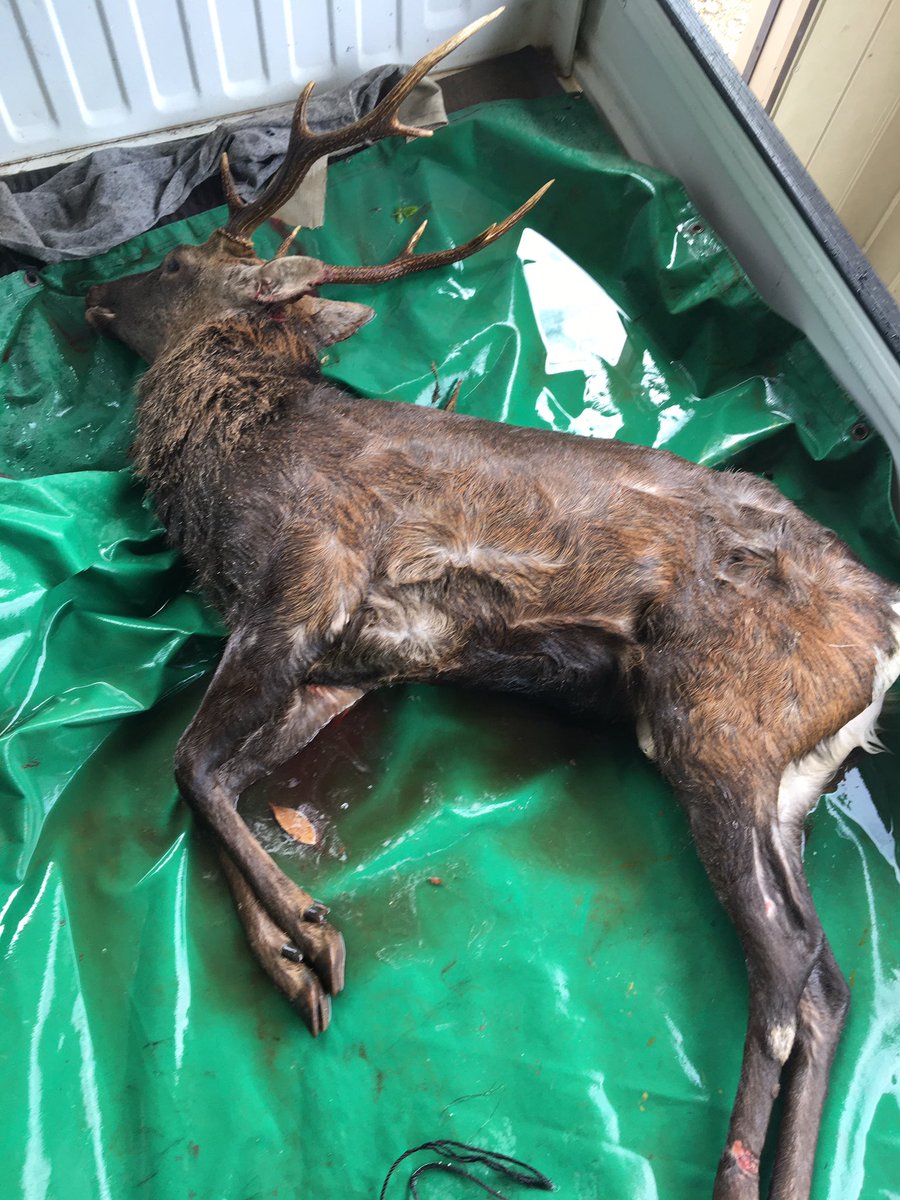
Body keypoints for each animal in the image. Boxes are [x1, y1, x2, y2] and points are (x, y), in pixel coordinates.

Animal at [82, 10, 900, 1200]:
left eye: (181, 261)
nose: (88, 295)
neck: (231, 446)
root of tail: (885, 635)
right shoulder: (350, 660)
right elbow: (218, 780)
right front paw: (293, 961)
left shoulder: (306, 578)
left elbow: (187, 766)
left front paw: (314, 934)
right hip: (787, 779)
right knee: (830, 983)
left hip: (720, 728)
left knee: (787, 976)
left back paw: (740, 1172)